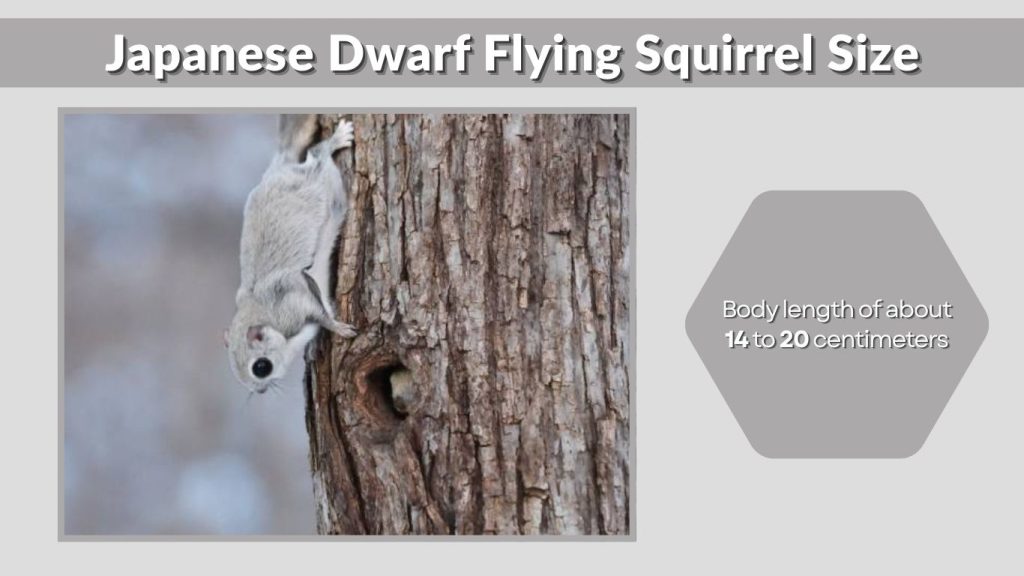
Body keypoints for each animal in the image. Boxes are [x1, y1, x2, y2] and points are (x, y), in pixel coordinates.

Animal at [225, 115, 357, 394]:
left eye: (261, 367)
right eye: (235, 375)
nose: (261, 391)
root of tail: (277, 169)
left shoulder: (292, 304)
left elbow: (320, 313)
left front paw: (339, 329)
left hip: (314, 184)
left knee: (317, 155)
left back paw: (336, 140)